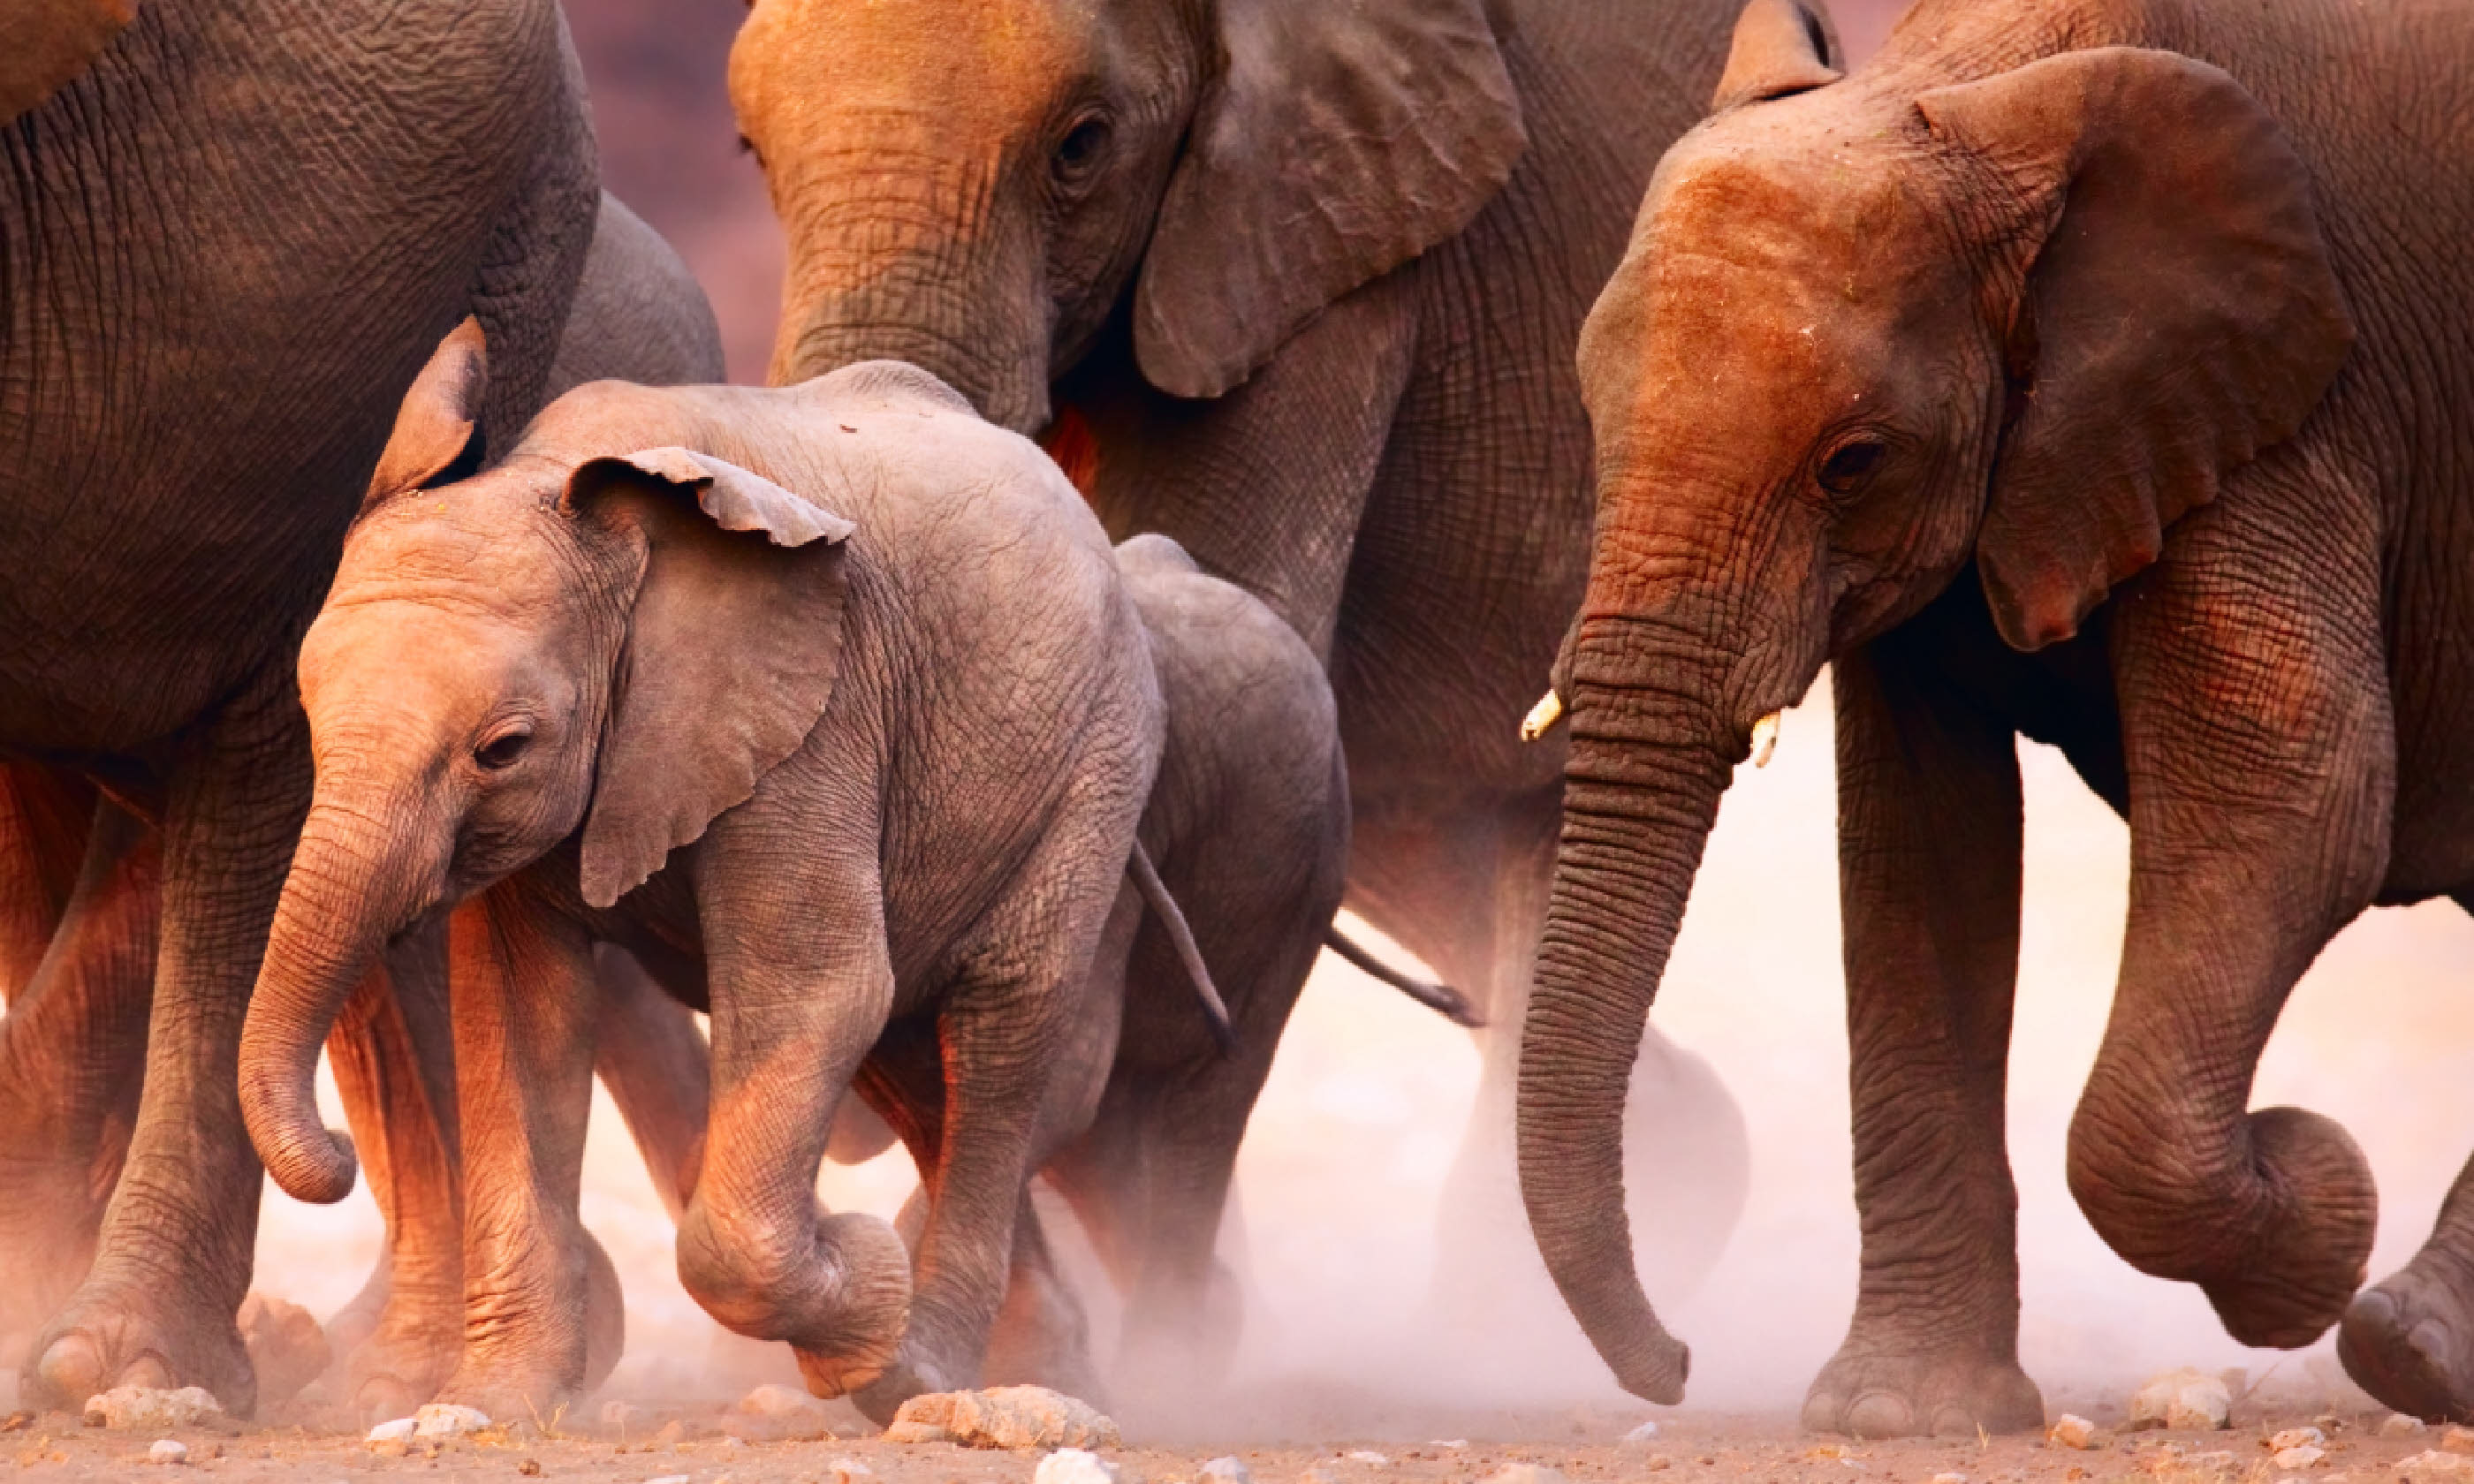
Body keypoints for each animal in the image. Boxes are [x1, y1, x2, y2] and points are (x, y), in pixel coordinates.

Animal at [1514, 0, 2474, 1435]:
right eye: (1585, 413)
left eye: (1852, 462)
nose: (1676, 1368)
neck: (1983, 85)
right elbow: (1920, 856)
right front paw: (1901, 1419)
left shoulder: (2293, 402)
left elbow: (2297, 798)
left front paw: (2315, 1209)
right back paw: (2421, 1348)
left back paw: (2403, 1344)